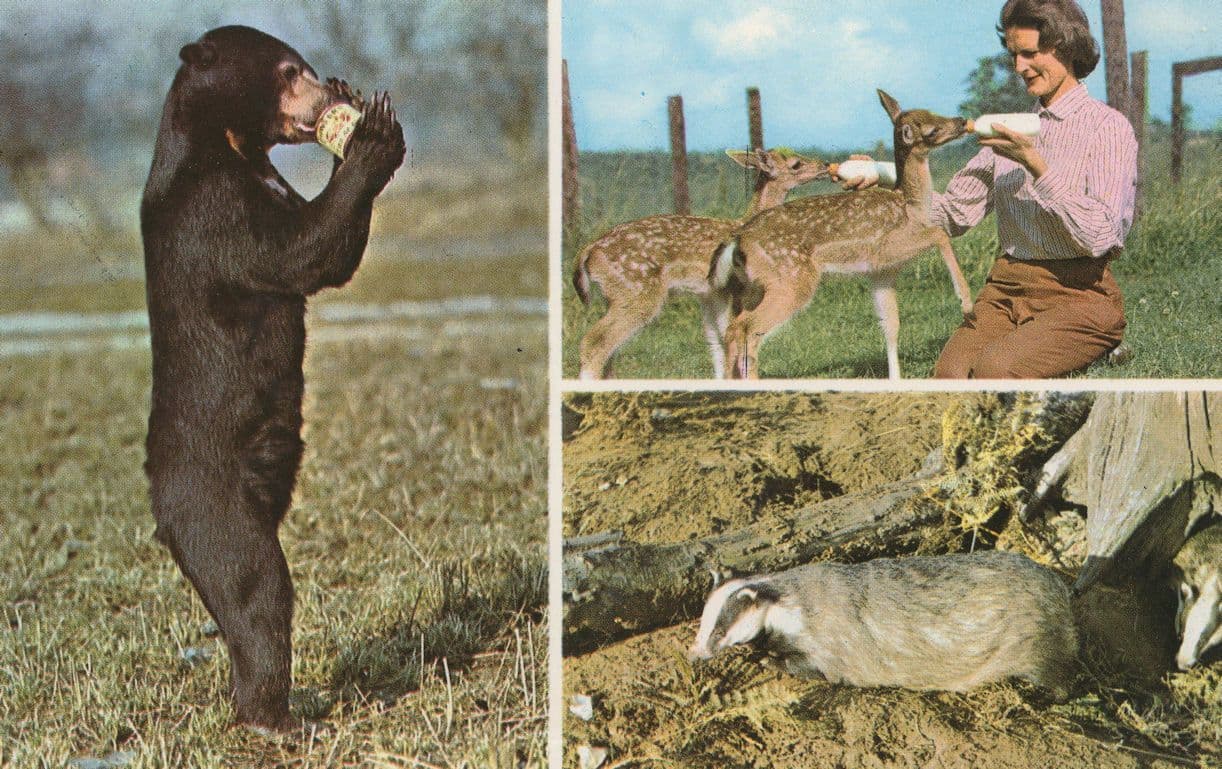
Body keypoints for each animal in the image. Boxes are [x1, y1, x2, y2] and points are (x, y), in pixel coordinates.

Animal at [140, 25, 405, 732]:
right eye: (290, 71)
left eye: (307, 68)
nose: (326, 90)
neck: (226, 144)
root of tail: (161, 511)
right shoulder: (213, 209)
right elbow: (299, 253)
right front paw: (373, 135)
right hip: (213, 500)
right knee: (255, 588)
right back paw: (272, 715)